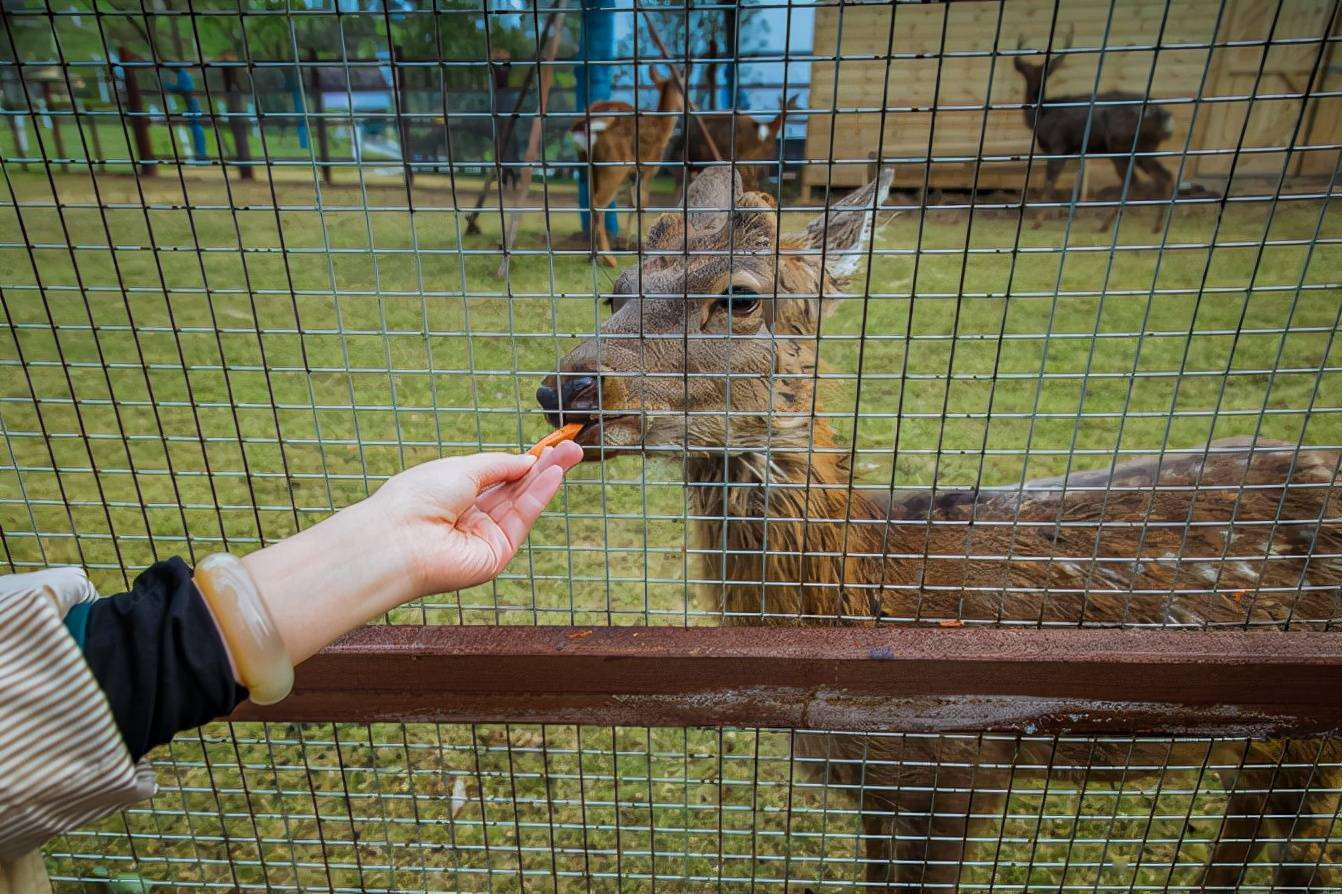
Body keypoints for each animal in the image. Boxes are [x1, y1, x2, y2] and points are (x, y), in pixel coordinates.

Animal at [536, 165, 1342, 885]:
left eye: (739, 297)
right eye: (615, 291)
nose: (566, 385)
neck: (875, 598)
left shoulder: (964, 766)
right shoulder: (874, 784)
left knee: (1299, 853)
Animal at [569, 65, 687, 264]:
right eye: (682, 88)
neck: (663, 130)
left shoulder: (633, 175)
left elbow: (632, 203)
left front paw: (626, 242)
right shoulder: (648, 169)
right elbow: (643, 203)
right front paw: (640, 244)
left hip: (589, 167)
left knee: (591, 200)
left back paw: (592, 255)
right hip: (614, 167)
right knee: (598, 203)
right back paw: (608, 258)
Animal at [1014, 33, 1175, 230]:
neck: (1042, 115)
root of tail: (1164, 116)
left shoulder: (1058, 145)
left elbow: (1050, 183)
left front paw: (1037, 221)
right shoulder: (1072, 151)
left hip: (1121, 145)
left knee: (1133, 181)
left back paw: (1107, 224)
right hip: (1145, 147)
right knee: (1163, 176)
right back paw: (1155, 226)